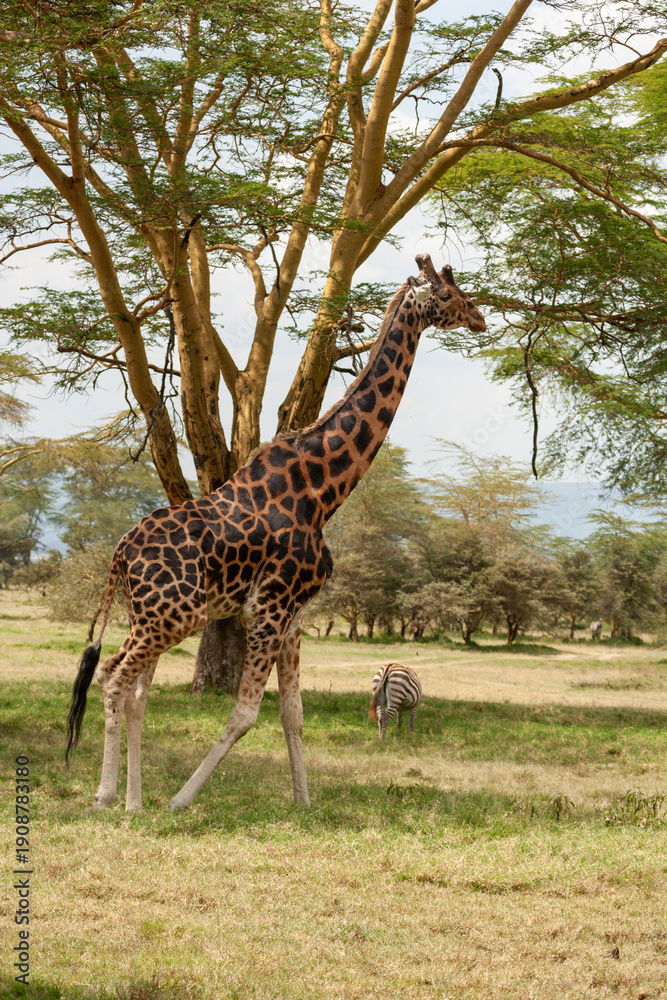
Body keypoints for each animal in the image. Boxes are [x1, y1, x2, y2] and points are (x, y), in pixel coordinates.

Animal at [66, 253, 486, 813]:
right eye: (445, 294)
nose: (479, 317)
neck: (324, 491)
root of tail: (118, 554)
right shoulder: (268, 608)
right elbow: (245, 714)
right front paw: (181, 799)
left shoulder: (294, 615)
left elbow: (293, 713)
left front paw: (304, 801)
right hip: (174, 615)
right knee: (113, 678)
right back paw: (110, 796)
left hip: (149, 615)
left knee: (134, 691)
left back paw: (129, 799)